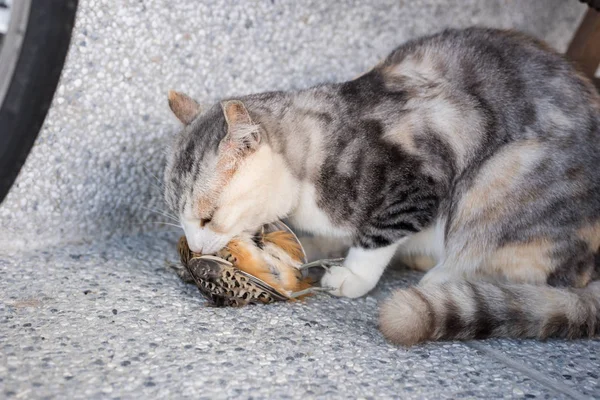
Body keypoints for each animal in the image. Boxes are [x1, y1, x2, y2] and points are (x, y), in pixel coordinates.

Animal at [163, 26, 600, 346]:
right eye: (181, 218)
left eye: (208, 217)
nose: (195, 247)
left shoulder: (417, 182)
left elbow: (378, 234)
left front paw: (352, 276)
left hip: (498, 178)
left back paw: (442, 278)